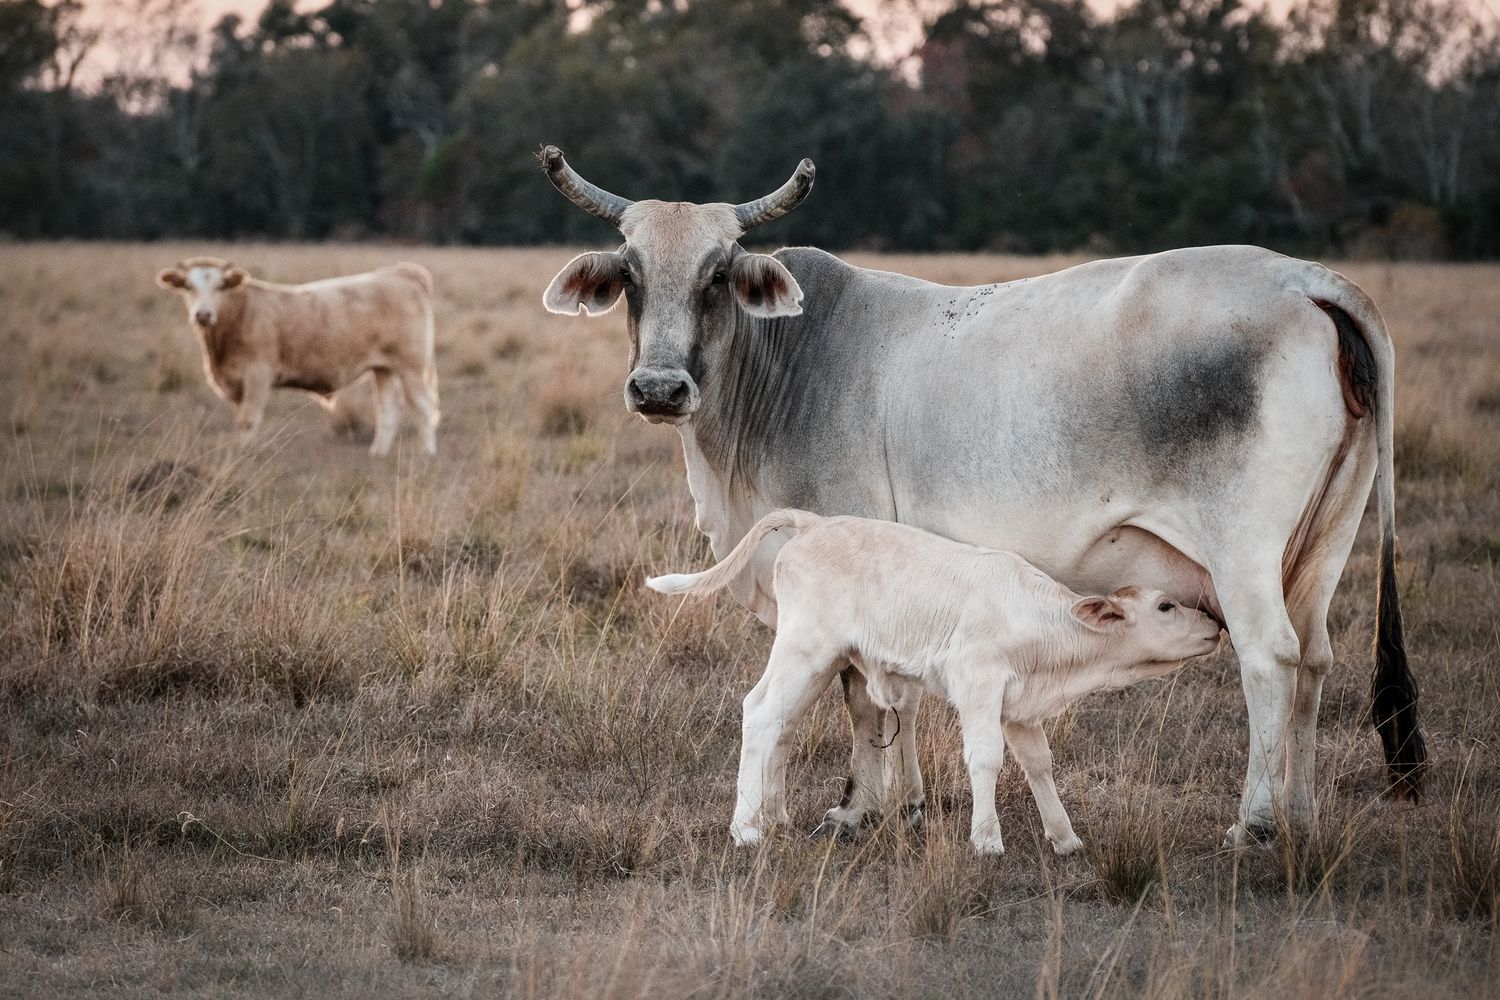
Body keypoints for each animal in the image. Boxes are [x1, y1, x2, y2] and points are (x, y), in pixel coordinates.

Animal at [156, 258, 440, 456]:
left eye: (220, 287)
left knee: (423, 406)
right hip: (384, 368)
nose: (203, 314)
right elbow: (240, 420)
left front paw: (244, 454)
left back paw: (426, 451)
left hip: (411, 367)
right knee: (388, 409)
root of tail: (399, 272)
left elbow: (248, 420)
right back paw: (378, 453)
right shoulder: (236, 384)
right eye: (188, 287)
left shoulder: (257, 375)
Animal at [648, 509, 1223, 855]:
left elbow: (1038, 763)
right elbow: (985, 758)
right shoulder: (978, 682)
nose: (1215, 626)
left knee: (783, 726)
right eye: (1165, 606)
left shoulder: (1019, 706)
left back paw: (776, 817)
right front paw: (987, 841)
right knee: (760, 712)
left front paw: (1065, 839)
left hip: (817, 661)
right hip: (804, 649)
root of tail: (816, 523)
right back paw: (746, 829)